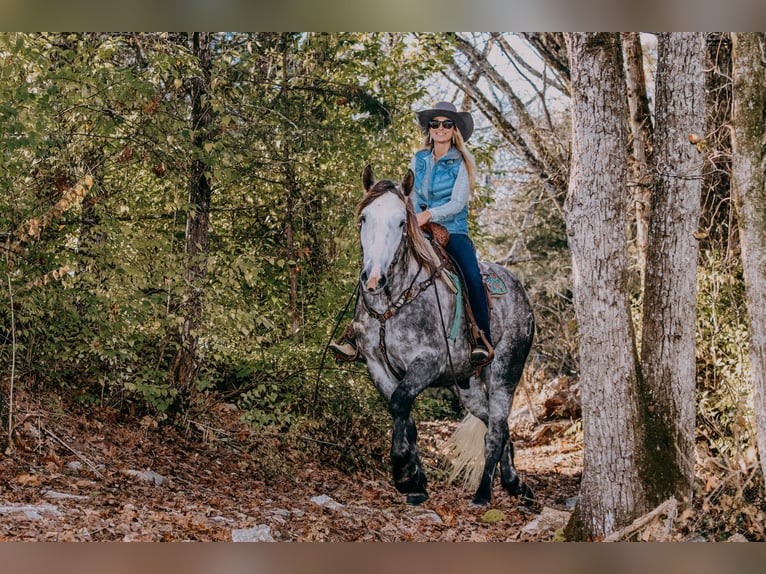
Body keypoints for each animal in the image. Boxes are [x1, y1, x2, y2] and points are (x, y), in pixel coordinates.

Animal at [352, 166, 536, 508]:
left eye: (401, 222)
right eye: (364, 218)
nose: (373, 279)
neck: (391, 305)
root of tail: (519, 289)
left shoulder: (428, 362)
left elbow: (400, 402)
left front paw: (404, 473)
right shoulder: (377, 366)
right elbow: (404, 415)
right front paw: (417, 481)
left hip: (505, 371)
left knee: (495, 431)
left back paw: (484, 493)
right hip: (468, 387)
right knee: (497, 425)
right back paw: (515, 484)